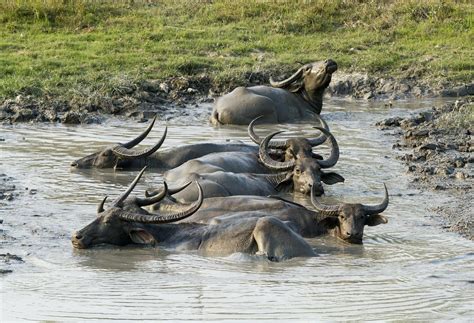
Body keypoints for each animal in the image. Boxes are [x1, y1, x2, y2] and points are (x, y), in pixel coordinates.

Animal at [72, 168, 316, 262]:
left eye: (108, 220)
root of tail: (310, 251)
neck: (168, 236)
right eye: (101, 213)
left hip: (266, 224)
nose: (77, 236)